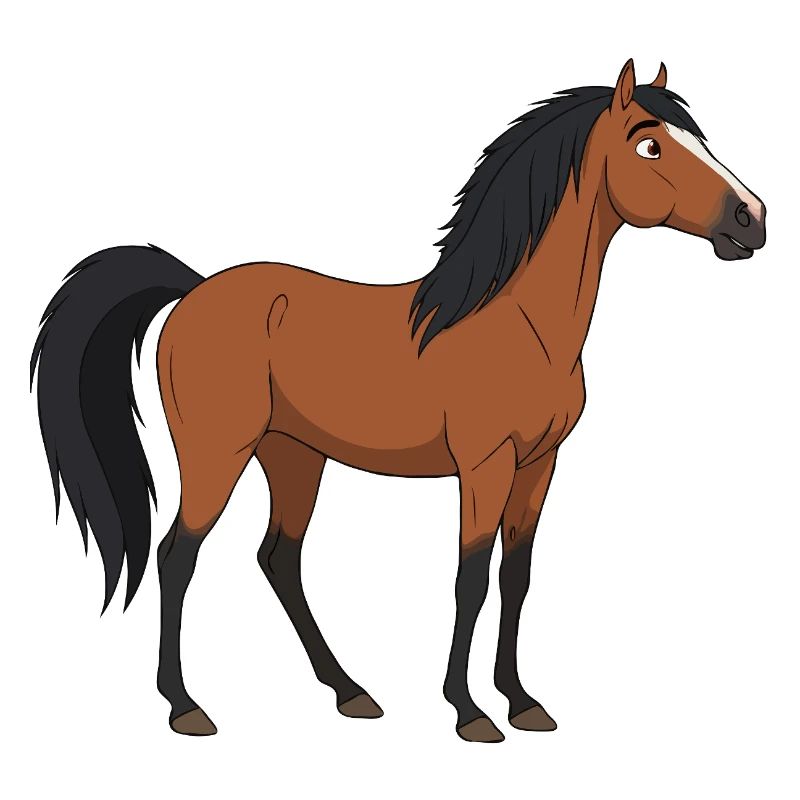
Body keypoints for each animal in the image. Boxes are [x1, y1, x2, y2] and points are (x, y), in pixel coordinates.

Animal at [30, 59, 766, 742]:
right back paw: (185, 706)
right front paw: (469, 711)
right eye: (649, 145)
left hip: (293, 455)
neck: (516, 322)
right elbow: (471, 578)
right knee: (178, 556)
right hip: (218, 454)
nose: (752, 219)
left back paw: (349, 691)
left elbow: (517, 576)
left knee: (279, 558)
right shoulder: (484, 465)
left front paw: (521, 702)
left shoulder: (540, 464)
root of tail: (194, 289)